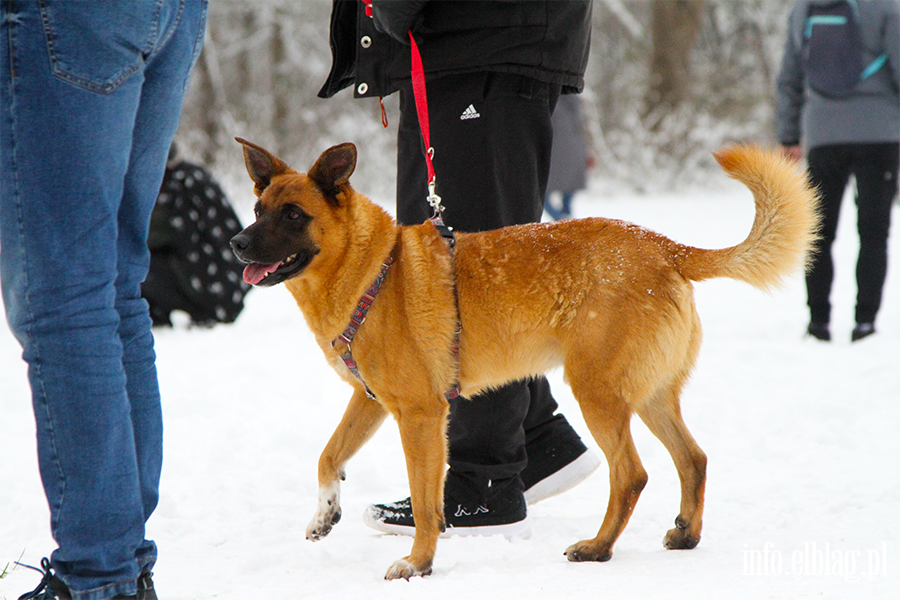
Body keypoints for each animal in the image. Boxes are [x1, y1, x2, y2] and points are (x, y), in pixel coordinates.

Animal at [230, 138, 816, 580]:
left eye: (293, 214)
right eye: (258, 209)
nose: (236, 243)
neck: (374, 268)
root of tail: (664, 246)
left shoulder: (420, 415)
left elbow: (425, 501)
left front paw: (419, 562)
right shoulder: (371, 400)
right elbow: (328, 456)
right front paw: (325, 514)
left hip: (598, 392)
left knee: (631, 474)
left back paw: (598, 548)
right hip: (649, 395)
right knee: (693, 459)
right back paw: (686, 535)